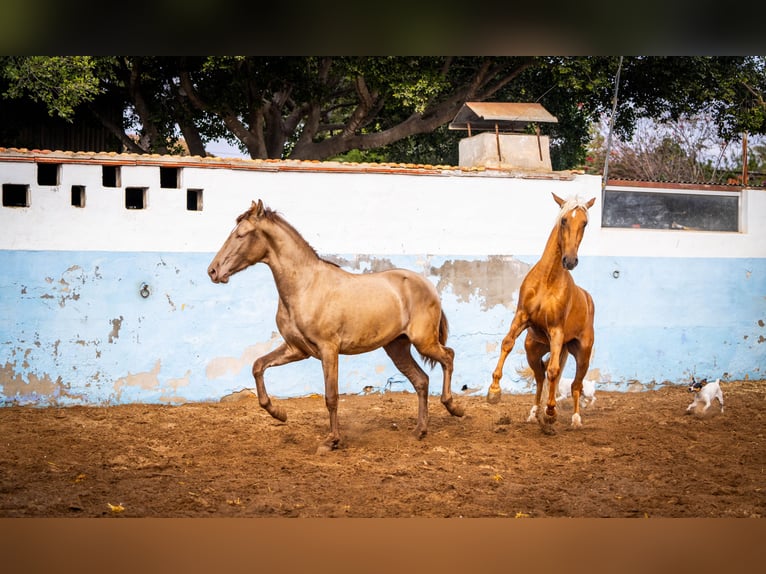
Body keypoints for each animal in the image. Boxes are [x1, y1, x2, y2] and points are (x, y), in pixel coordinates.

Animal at [207, 199, 464, 451]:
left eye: (241, 234)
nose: (213, 271)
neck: (305, 287)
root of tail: (428, 286)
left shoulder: (328, 349)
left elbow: (331, 396)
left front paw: (331, 441)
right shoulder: (296, 349)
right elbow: (258, 366)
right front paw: (279, 413)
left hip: (423, 342)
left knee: (448, 357)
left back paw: (454, 408)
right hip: (397, 348)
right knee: (421, 380)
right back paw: (420, 430)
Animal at [487, 192, 596, 434]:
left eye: (585, 223)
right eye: (564, 220)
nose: (570, 261)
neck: (548, 279)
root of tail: (587, 298)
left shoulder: (556, 331)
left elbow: (554, 371)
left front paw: (552, 412)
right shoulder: (521, 317)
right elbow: (507, 343)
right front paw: (494, 391)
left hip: (582, 352)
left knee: (574, 384)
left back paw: (574, 418)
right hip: (533, 350)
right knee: (539, 378)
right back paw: (534, 413)